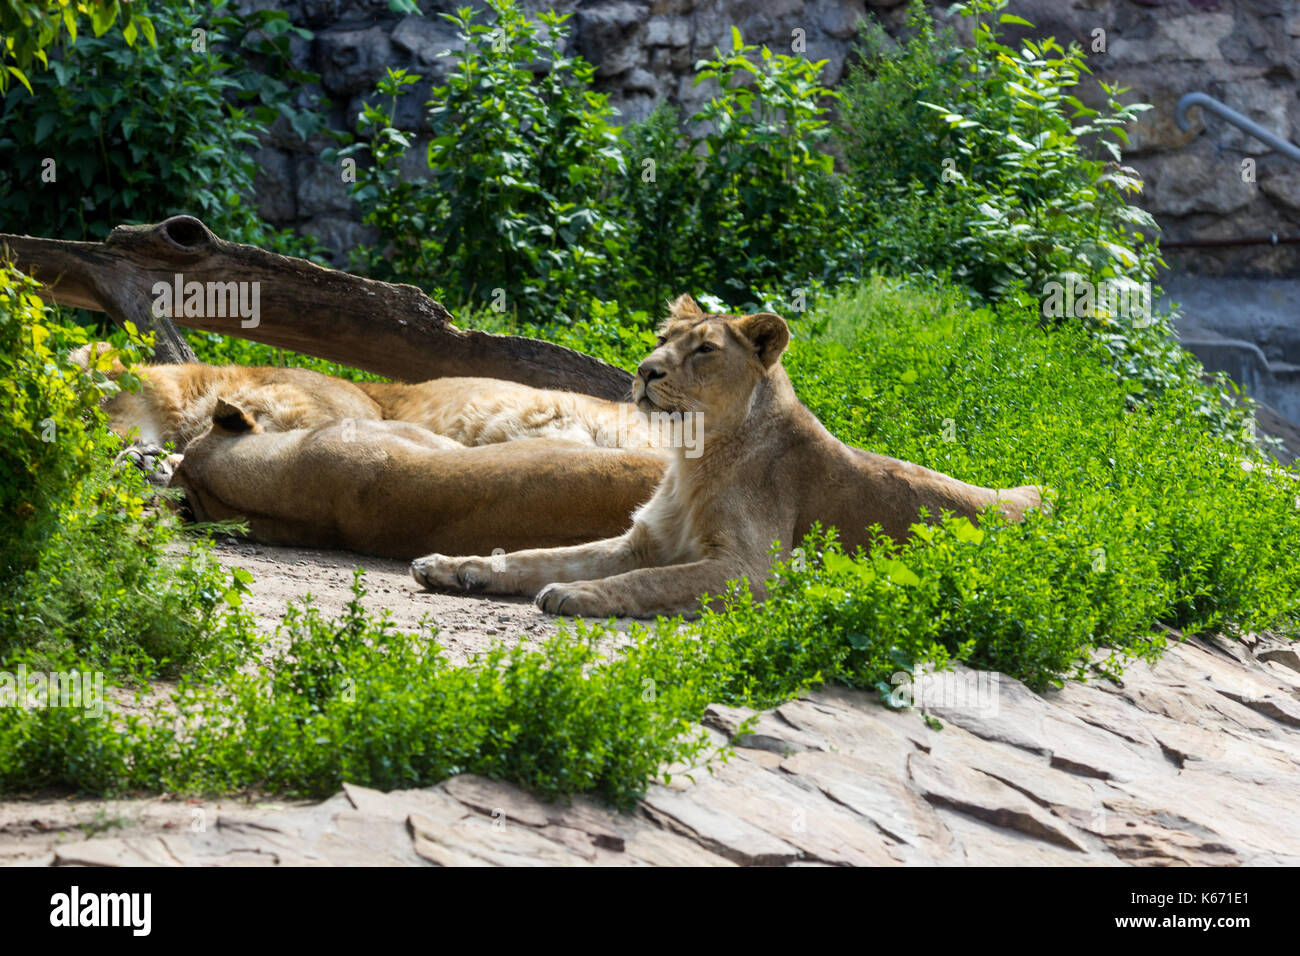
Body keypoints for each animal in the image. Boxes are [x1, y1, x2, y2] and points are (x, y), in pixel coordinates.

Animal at [410, 295, 1040, 616]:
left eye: (705, 350)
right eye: (662, 339)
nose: (644, 371)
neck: (693, 456)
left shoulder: (755, 570)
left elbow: (652, 582)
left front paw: (579, 594)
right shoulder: (641, 542)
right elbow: (536, 555)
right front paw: (455, 566)